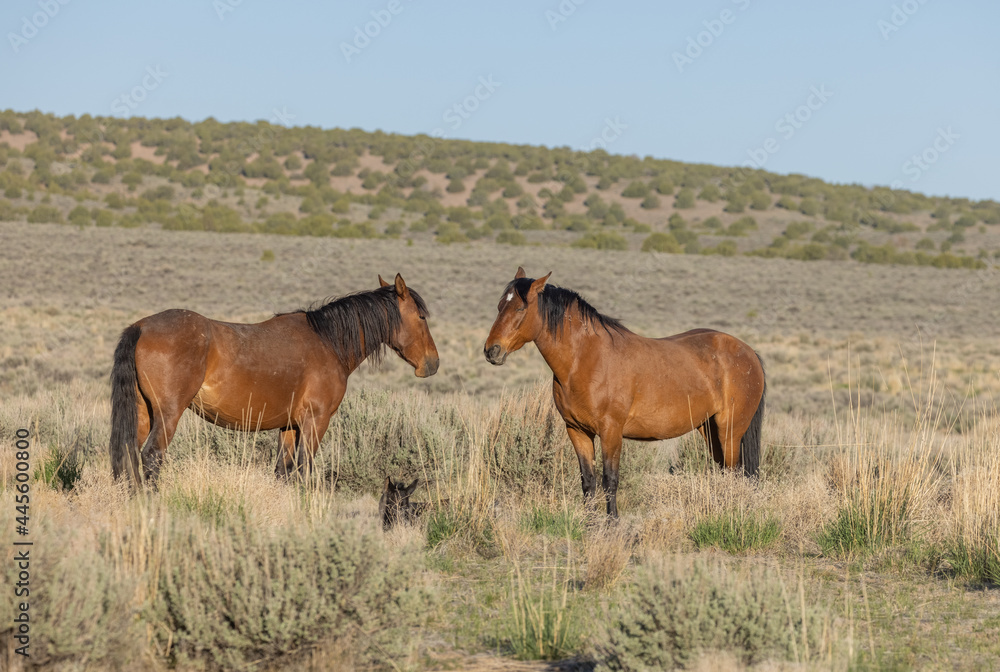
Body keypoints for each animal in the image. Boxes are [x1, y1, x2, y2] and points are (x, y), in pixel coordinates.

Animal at [108, 274, 438, 488]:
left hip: (142, 412)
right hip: (167, 415)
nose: (432, 364)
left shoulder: (289, 427)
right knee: (152, 457)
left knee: (129, 456)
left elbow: (283, 471)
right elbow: (304, 471)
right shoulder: (316, 422)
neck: (328, 342)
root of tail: (141, 326)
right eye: (421, 317)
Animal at [484, 266, 764, 516]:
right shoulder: (577, 431)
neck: (585, 359)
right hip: (709, 429)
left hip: (730, 430)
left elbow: (610, 480)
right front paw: (590, 524)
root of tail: (748, 352)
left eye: (520, 308)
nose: (491, 351)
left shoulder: (611, 432)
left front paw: (612, 524)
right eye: (498, 306)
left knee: (734, 472)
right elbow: (588, 480)